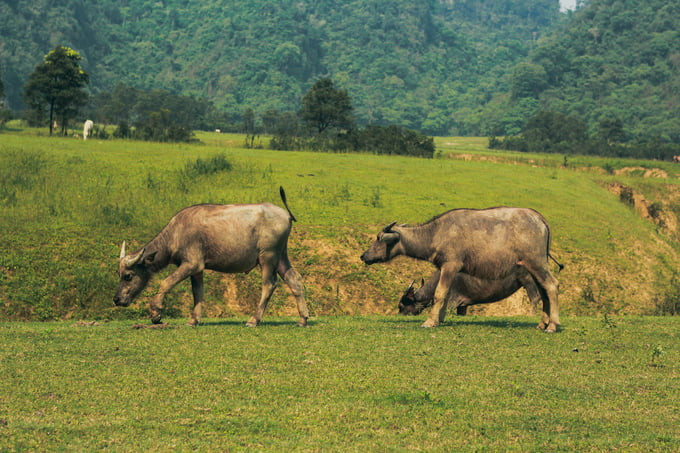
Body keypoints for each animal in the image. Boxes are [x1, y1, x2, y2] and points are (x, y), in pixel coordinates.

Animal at [114, 185, 308, 326]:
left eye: (128, 276)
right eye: (119, 274)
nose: (117, 299)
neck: (176, 233)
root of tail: (285, 214)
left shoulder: (192, 264)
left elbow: (166, 282)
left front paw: (156, 312)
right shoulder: (197, 269)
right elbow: (198, 292)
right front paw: (194, 320)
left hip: (267, 257)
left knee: (269, 285)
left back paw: (254, 320)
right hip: (281, 255)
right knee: (294, 279)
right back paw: (303, 319)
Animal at [362, 207, 564, 330]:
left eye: (379, 238)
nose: (363, 256)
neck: (435, 233)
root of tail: (539, 218)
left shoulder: (450, 265)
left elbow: (440, 293)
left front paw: (430, 321)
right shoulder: (450, 271)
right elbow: (445, 295)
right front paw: (440, 319)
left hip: (535, 263)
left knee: (552, 286)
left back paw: (553, 325)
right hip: (533, 267)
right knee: (544, 290)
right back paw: (542, 323)